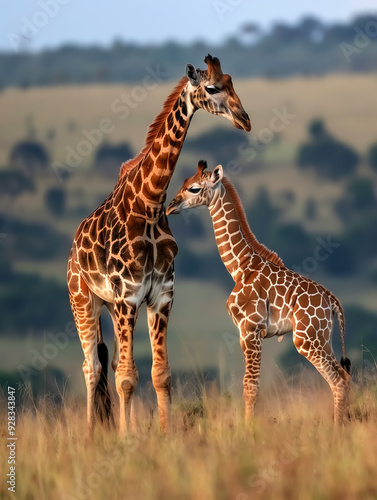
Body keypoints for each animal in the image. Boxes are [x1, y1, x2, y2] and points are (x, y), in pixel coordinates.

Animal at [67, 55, 250, 438]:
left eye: (231, 82)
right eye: (213, 87)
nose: (245, 119)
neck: (149, 204)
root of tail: (73, 246)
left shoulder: (160, 295)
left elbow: (159, 374)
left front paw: (164, 434)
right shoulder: (128, 296)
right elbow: (126, 378)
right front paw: (125, 439)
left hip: (110, 306)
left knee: (109, 364)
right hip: (83, 299)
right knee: (92, 367)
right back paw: (91, 436)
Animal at [166, 162, 352, 424]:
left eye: (193, 188)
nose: (170, 206)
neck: (240, 265)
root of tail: (331, 300)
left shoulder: (251, 329)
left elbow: (250, 387)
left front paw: (249, 429)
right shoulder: (246, 332)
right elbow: (251, 385)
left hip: (306, 338)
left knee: (338, 380)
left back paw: (336, 428)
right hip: (323, 337)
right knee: (343, 377)